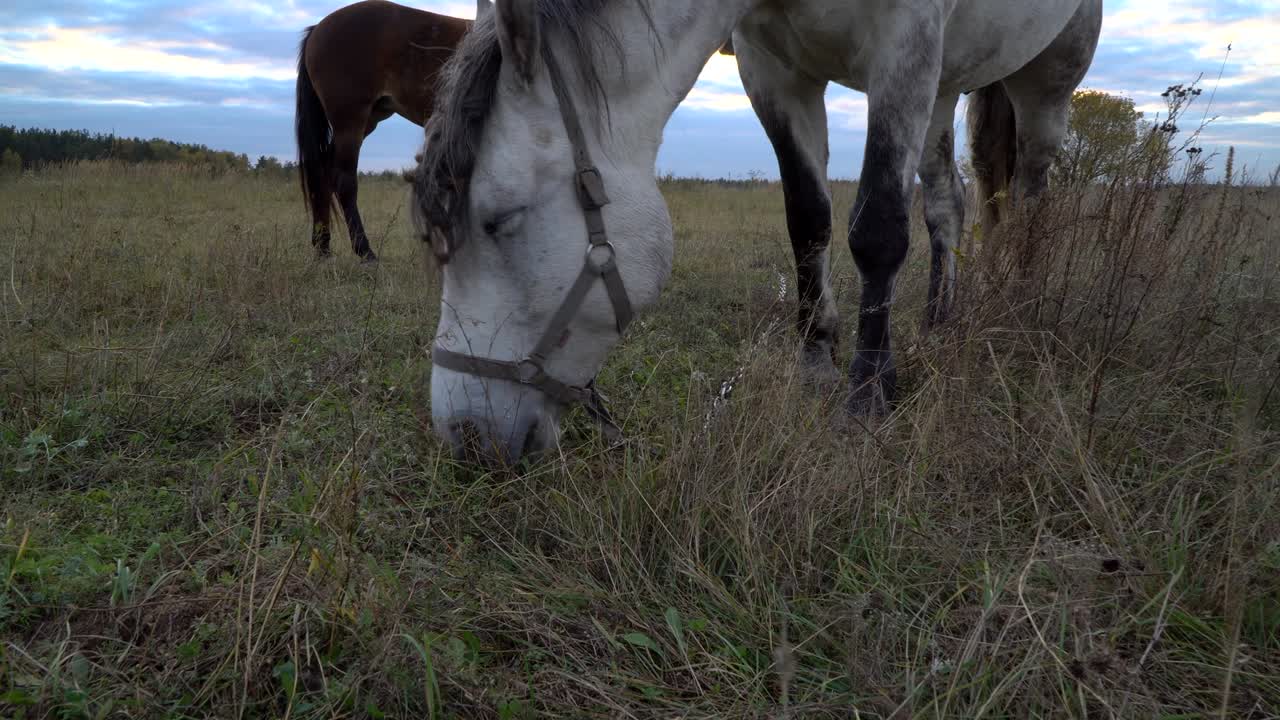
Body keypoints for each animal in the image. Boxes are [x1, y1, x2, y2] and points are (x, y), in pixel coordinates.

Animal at [295, 0, 478, 262]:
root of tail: (318, 28)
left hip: (366, 120)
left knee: (323, 172)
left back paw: (323, 248)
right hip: (350, 122)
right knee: (344, 181)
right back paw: (365, 252)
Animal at [412, 0, 1102, 462]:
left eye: (501, 218)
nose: (464, 435)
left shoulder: (904, 41)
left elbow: (877, 228)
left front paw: (867, 395)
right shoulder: (772, 67)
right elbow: (808, 219)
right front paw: (817, 363)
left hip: (1045, 80)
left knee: (1032, 192)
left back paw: (1022, 301)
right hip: (944, 86)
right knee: (946, 204)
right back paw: (938, 320)